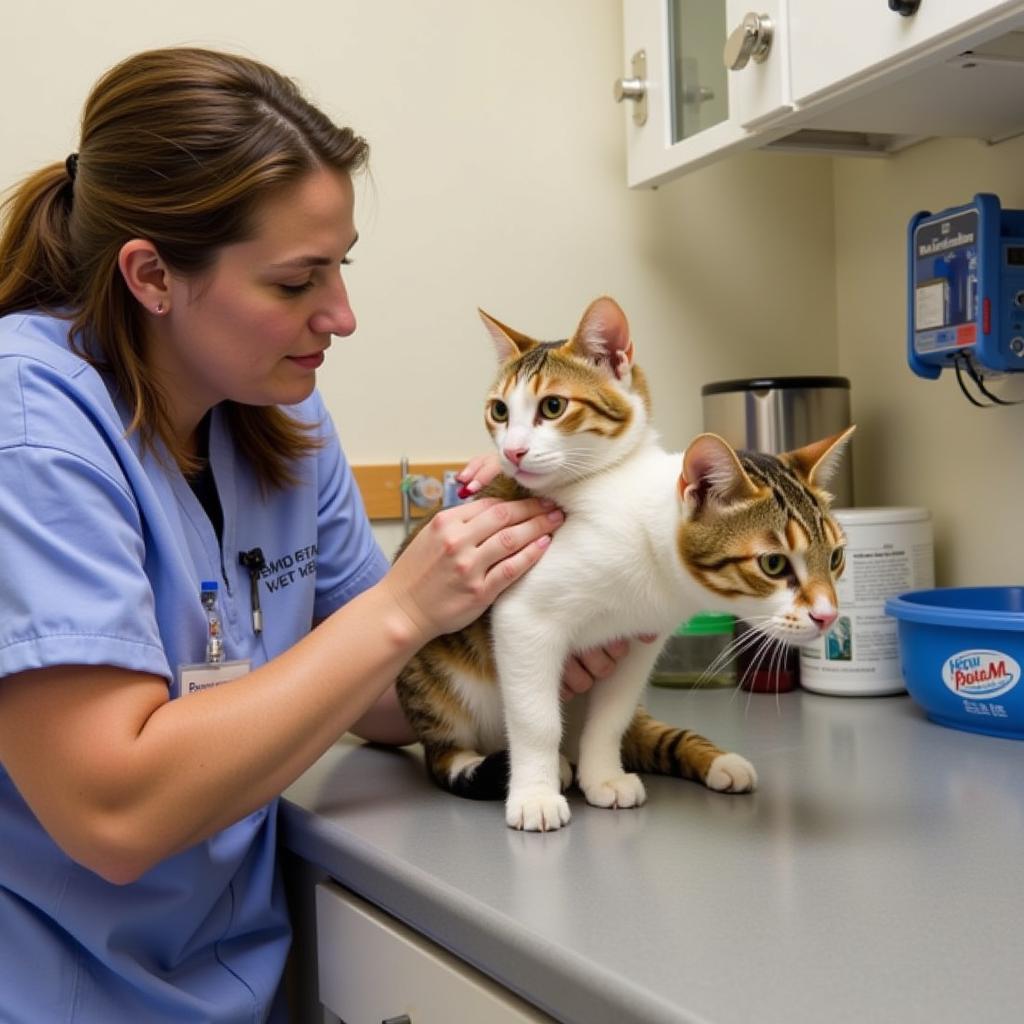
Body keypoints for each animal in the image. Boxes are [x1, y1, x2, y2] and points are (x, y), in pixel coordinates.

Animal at [395, 299, 851, 831]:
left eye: (836, 557)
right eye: (774, 564)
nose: (828, 615)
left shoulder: (636, 643)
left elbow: (610, 720)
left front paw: (603, 777)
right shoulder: (525, 619)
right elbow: (535, 720)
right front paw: (534, 794)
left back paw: (715, 761)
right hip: (433, 686)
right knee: (447, 751)